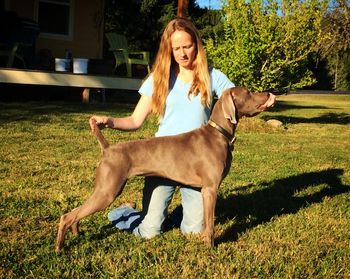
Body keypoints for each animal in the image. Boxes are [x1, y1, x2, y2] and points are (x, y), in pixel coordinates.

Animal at [56, 87, 270, 252]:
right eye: (248, 92)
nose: (268, 93)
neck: (219, 133)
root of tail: (108, 149)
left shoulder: (206, 190)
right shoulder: (210, 188)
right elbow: (210, 223)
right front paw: (210, 246)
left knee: (76, 213)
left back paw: (76, 233)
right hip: (108, 190)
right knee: (68, 215)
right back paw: (59, 247)